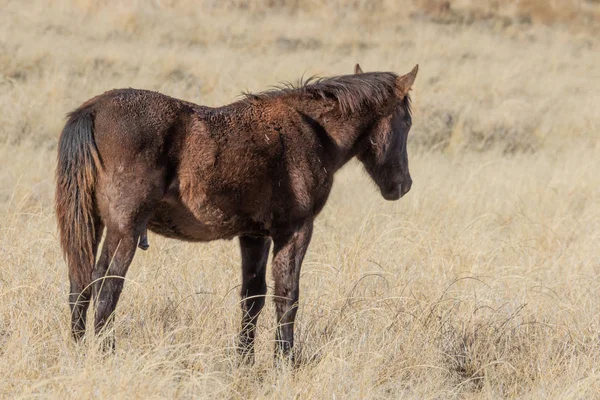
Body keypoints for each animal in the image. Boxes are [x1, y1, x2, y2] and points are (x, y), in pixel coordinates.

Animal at [55, 63, 418, 362]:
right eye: (407, 121)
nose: (402, 185)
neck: (312, 131)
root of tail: (93, 110)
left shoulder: (254, 235)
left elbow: (252, 299)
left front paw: (245, 362)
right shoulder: (295, 230)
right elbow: (287, 297)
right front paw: (284, 362)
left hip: (95, 226)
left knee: (81, 286)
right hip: (125, 231)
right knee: (106, 289)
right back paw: (105, 355)